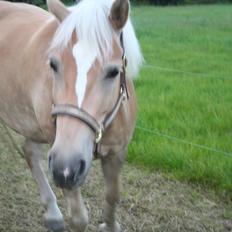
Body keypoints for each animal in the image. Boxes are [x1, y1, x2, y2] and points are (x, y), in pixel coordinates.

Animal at [0, 0, 141, 231]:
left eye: (113, 72)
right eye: (53, 64)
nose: (65, 168)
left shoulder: (116, 153)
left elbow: (113, 196)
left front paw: (110, 225)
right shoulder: (60, 156)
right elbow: (78, 218)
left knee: (29, 151)